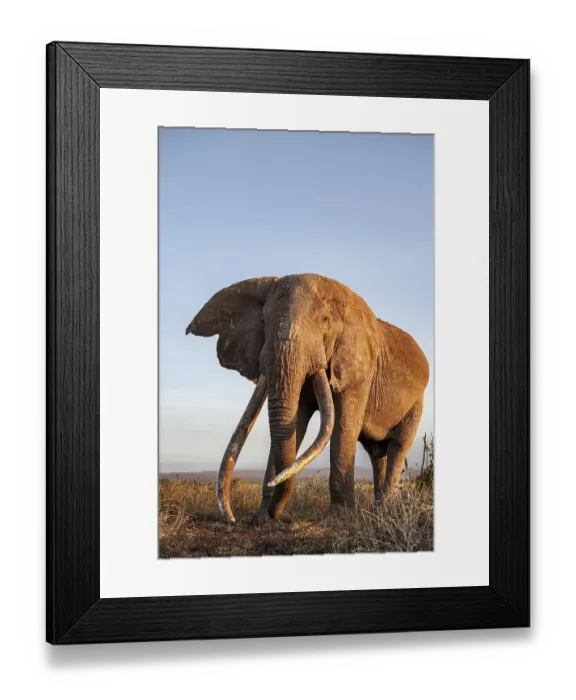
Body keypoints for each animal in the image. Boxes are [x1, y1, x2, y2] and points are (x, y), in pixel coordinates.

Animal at [186, 273, 429, 525]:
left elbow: (344, 426)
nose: (233, 520)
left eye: (324, 320)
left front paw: (338, 518)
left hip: (416, 403)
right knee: (376, 454)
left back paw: (383, 512)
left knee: (398, 447)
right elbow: (296, 423)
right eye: (264, 321)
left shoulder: (359, 369)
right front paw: (261, 519)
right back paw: (376, 512)